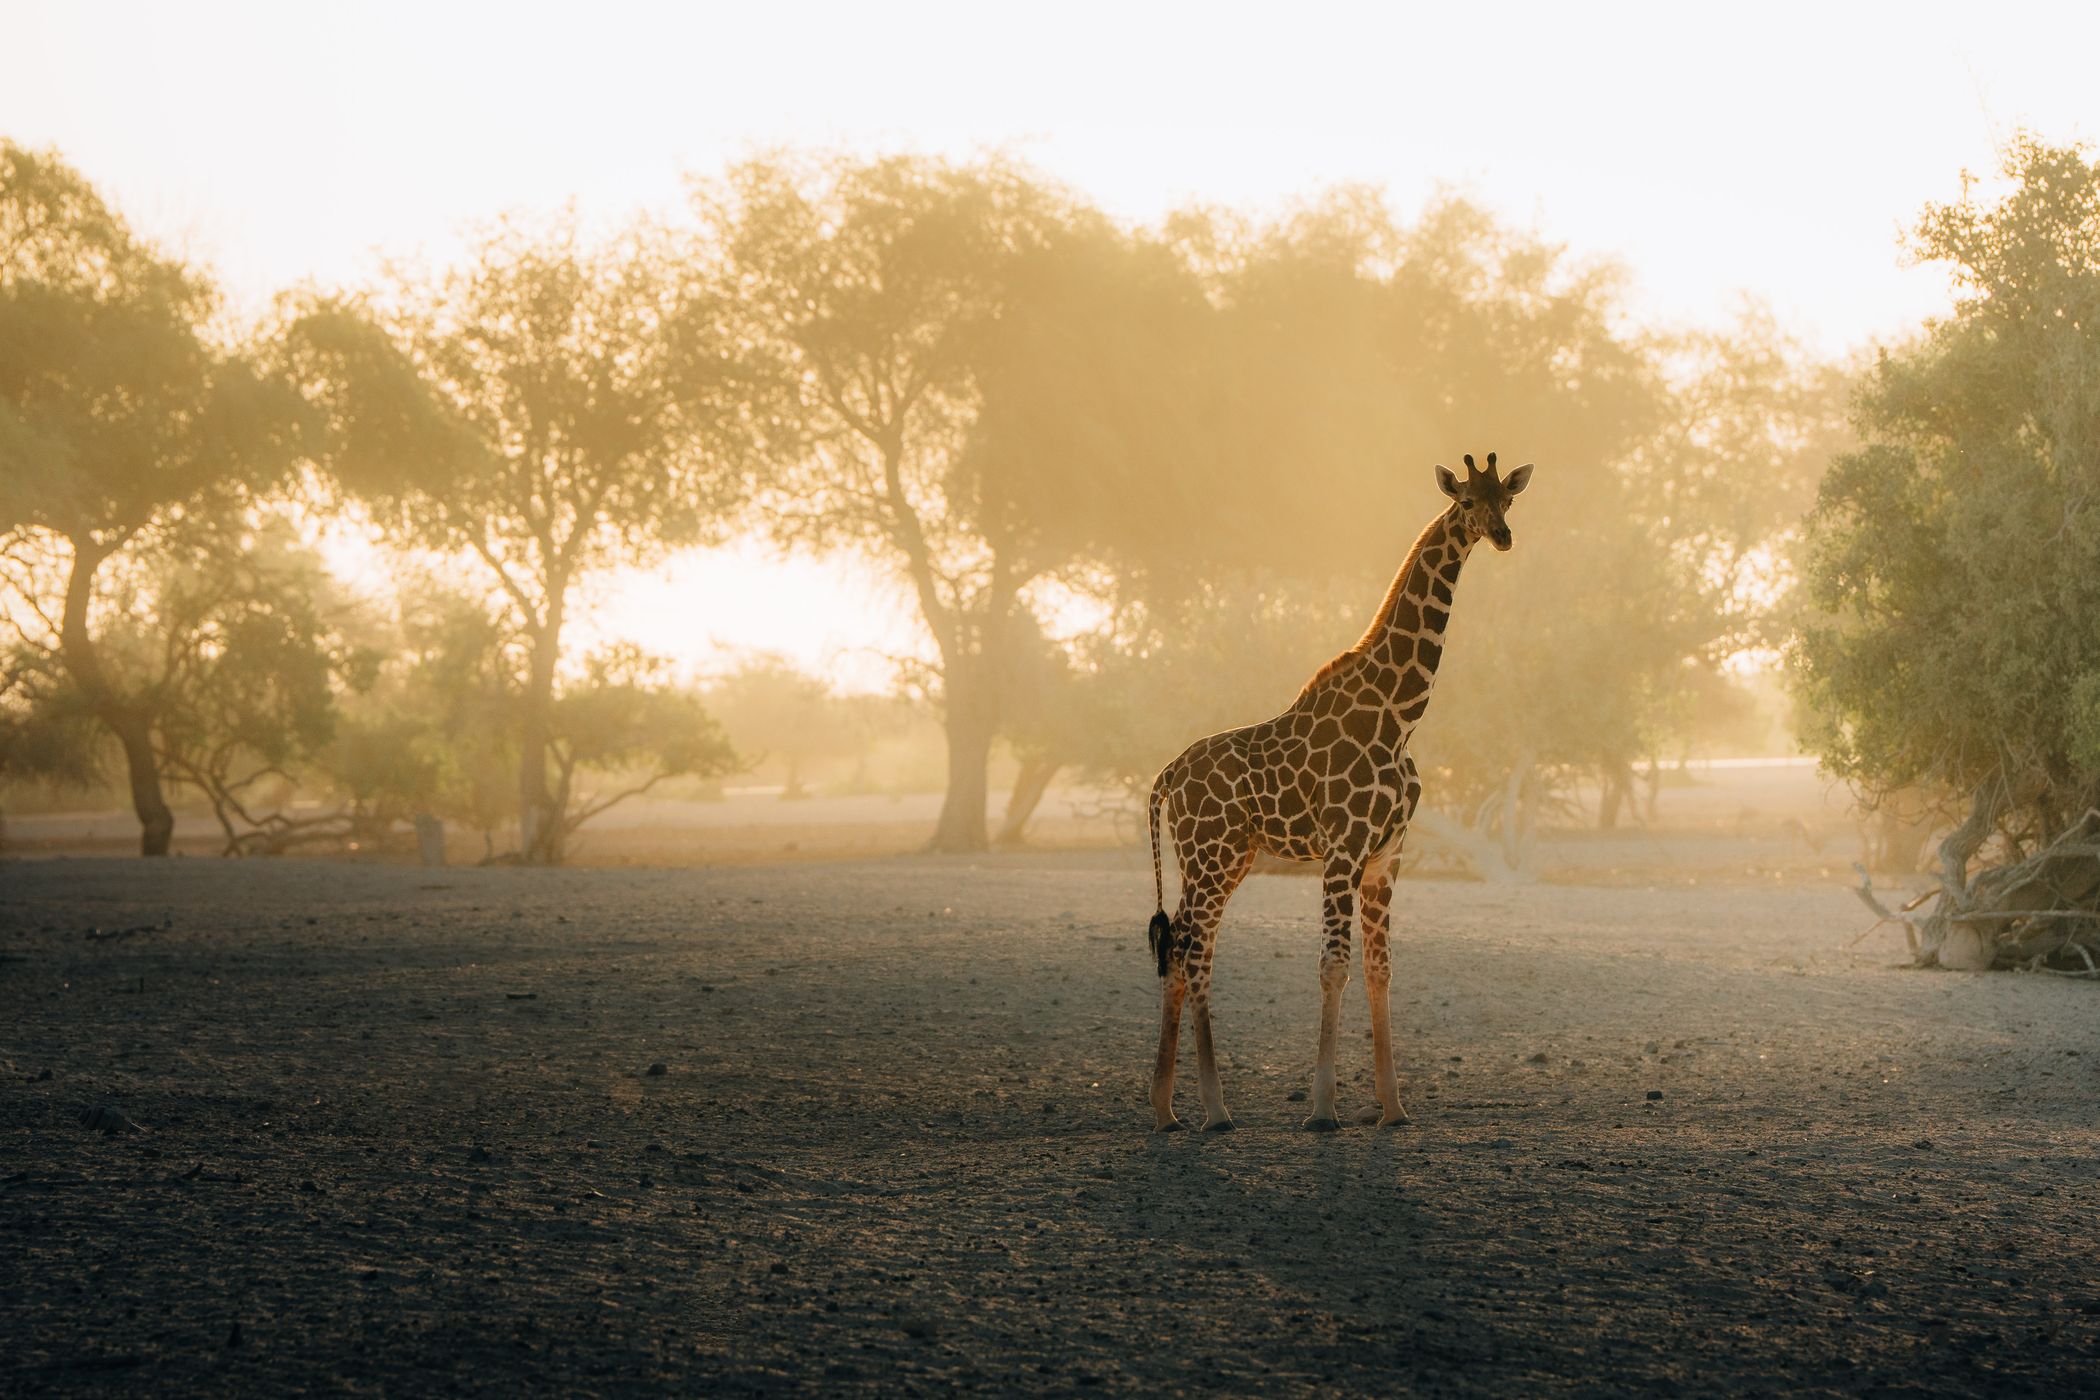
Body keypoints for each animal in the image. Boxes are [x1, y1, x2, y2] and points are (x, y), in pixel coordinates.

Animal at [1144, 451, 1533, 1132]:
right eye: (1465, 501)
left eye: (1505, 500)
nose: (1503, 536)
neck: (1400, 715)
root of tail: (1167, 776)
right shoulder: (1343, 848)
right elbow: (1334, 966)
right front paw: (1323, 1109)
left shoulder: (1386, 854)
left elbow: (1380, 969)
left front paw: (1393, 1107)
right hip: (1212, 856)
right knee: (1193, 953)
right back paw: (1214, 1110)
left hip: (1222, 860)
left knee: (1185, 951)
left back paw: (1169, 1111)